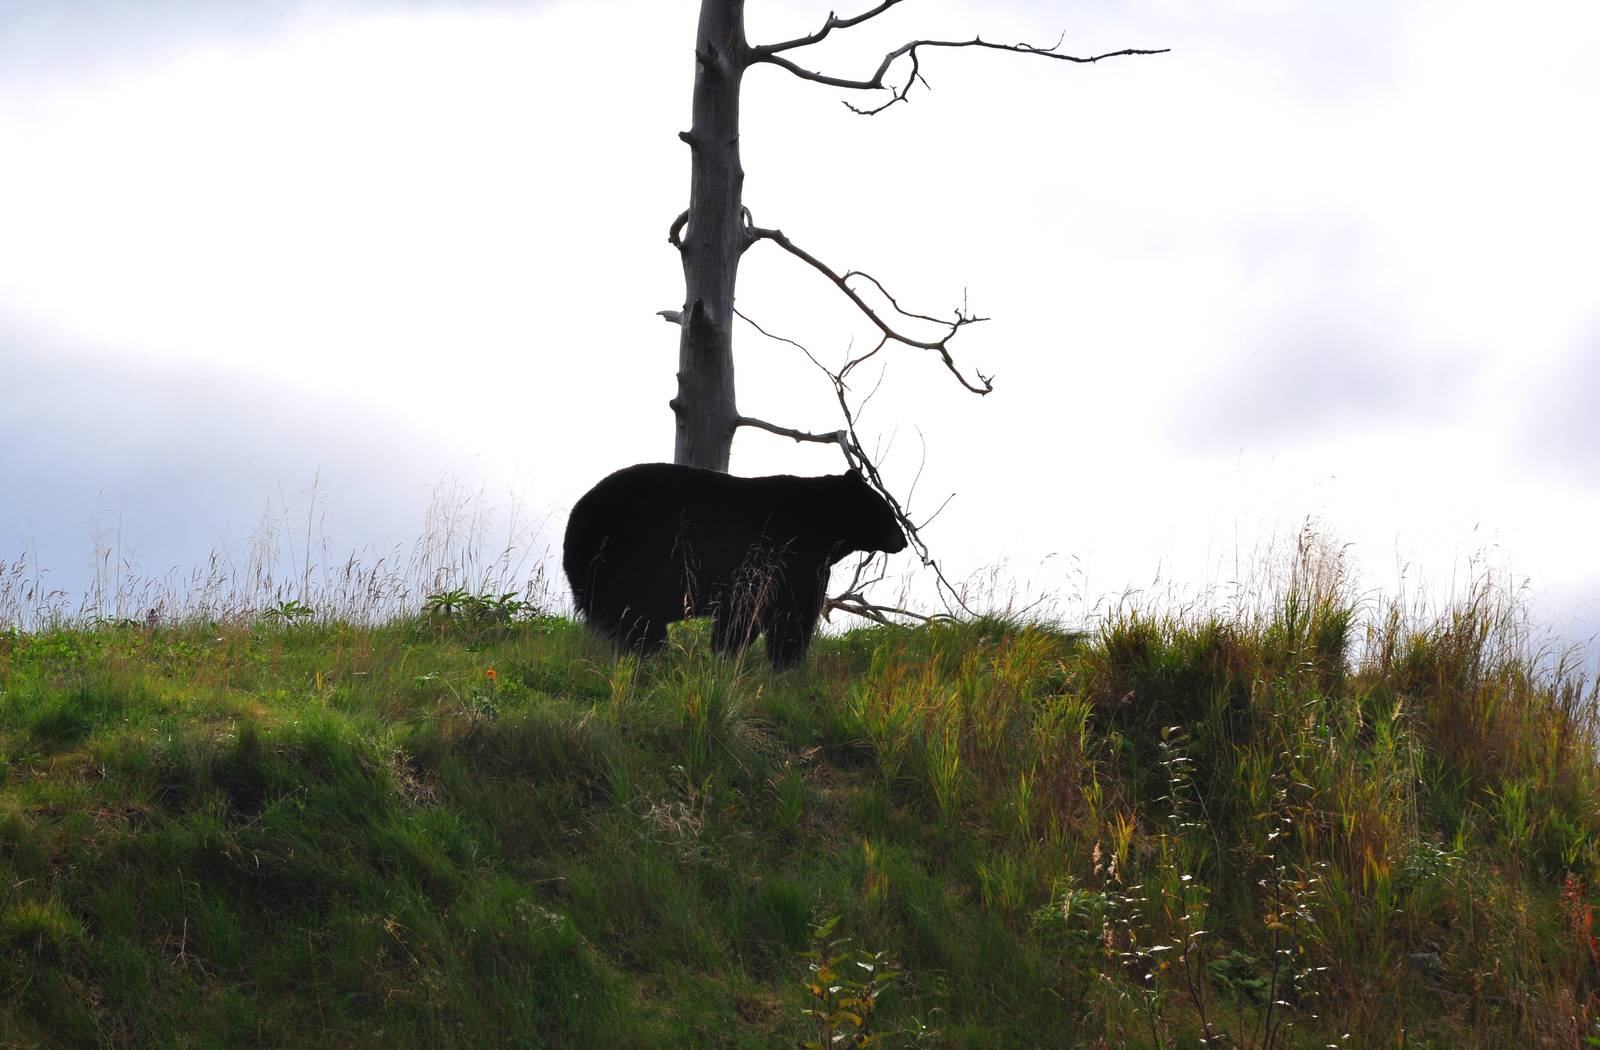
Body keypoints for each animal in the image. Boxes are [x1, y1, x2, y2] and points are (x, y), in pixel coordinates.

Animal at [563, 463, 908, 668]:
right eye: (887, 510)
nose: (903, 540)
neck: (823, 528)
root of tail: (575, 519)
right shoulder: (779, 555)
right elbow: (772, 612)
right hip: (623, 563)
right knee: (631, 619)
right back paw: (652, 653)